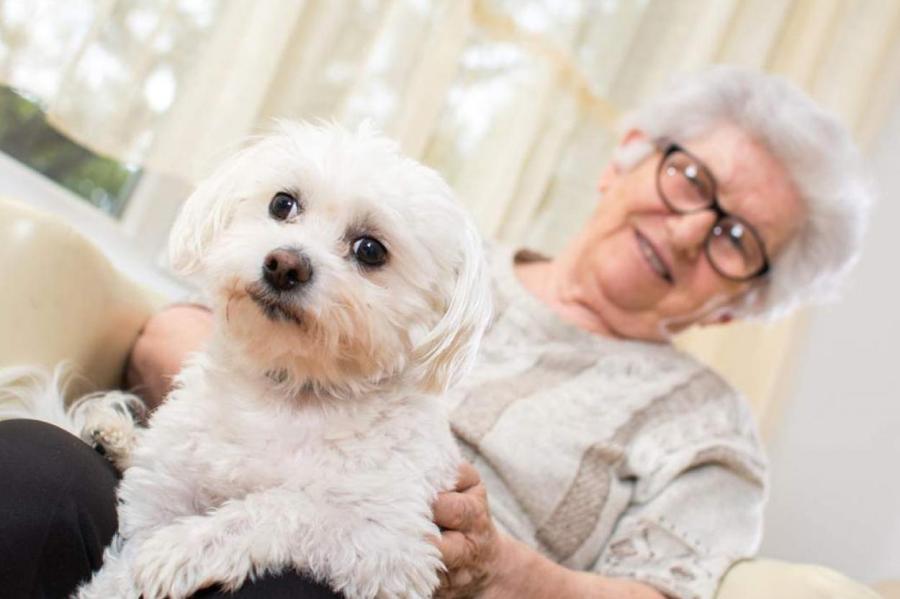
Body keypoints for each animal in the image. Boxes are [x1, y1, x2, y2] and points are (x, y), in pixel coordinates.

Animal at [37, 123, 492, 599]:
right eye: (282, 203)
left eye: (370, 250)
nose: (284, 265)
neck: (288, 391)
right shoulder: (158, 501)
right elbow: (122, 570)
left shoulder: (392, 546)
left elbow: (286, 504)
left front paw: (184, 547)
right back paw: (114, 436)